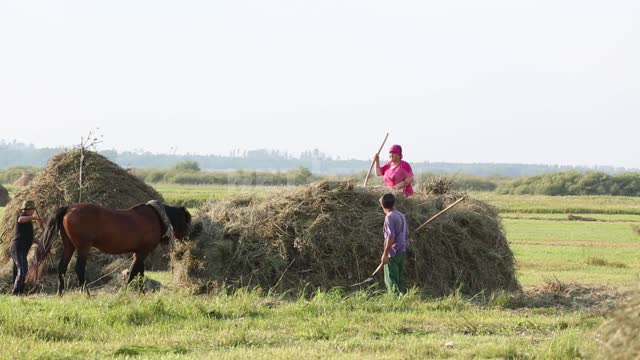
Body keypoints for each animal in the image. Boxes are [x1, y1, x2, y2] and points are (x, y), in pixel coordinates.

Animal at [30, 201, 190, 294]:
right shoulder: (143, 252)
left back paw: (60, 292)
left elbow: (136, 271)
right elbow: (136, 272)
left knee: (62, 267)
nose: (188, 238)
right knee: (79, 268)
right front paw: (131, 291)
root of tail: (69, 208)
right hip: (83, 247)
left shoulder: (138, 252)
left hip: (69, 246)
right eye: (187, 220)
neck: (156, 217)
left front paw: (135, 291)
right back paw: (86, 293)